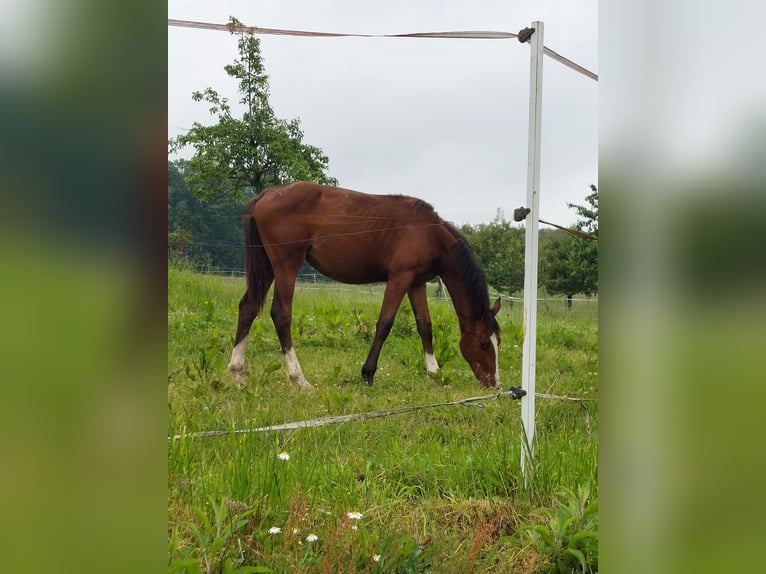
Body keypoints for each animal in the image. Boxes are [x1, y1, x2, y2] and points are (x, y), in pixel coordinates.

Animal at [226, 183, 504, 392]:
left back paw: (237, 374)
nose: (493, 383)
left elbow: (425, 326)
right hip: (286, 266)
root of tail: (264, 196)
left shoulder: (417, 283)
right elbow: (384, 324)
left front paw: (434, 373)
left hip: (268, 267)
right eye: (483, 344)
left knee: (248, 307)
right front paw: (368, 373)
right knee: (281, 314)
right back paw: (299, 379)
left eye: (498, 341)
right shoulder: (400, 278)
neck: (428, 233)